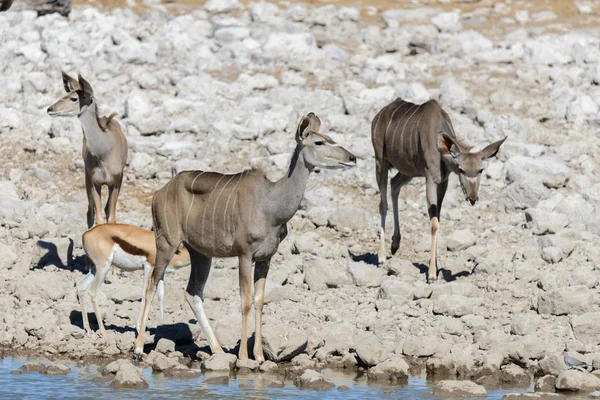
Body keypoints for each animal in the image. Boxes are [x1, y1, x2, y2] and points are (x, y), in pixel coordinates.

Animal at [47, 72, 127, 231]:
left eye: (74, 98)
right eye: (66, 94)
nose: (50, 109)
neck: (103, 152)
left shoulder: (116, 182)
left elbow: (111, 217)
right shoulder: (95, 182)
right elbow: (99, 219)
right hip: (87, 179)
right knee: (91, 211)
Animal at [132, 111, 356, 360]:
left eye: (330, 137)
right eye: (319, 142)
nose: (352, 157)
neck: (271, 205)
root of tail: (158, 194)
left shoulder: (266, 257)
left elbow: (259, 301)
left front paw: (259, 356)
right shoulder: (244, 253)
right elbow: (246, 301)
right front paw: (244, 357)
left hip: (201, 253)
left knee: (192, 293)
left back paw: (218, 349)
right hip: (166, 242)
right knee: (152, 283)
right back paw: (139, 349)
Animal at [370, 99, 506, 282]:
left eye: (480, 170)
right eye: (461, 169)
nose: (472, 198)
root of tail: (379, 115)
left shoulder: (443, 182)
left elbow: (437, 219)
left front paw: (435, 265)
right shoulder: (430, 179)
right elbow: (434, 223)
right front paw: (432, 274)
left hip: (407, 170)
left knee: (395, 184)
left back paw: (395, 244)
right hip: (381, 162)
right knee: (382, 203)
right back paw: (382, 257)